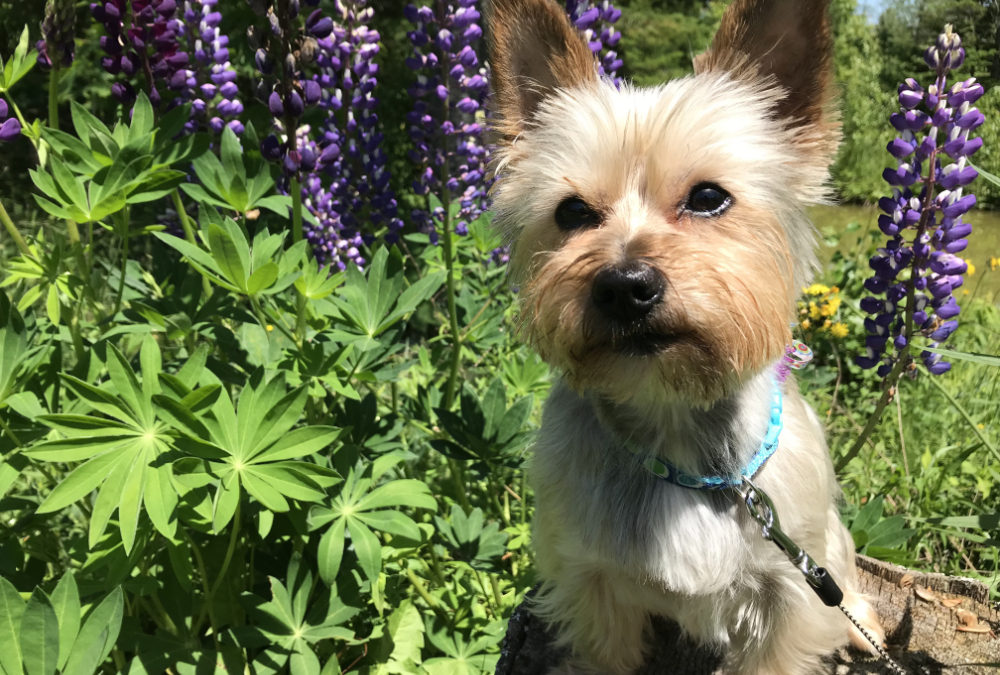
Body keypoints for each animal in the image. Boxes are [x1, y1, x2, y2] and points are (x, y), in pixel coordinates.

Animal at [488, 1, 888, 675]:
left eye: (707, 197)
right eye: (572, 212)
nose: (624, 287)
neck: (671, 418)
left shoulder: (789, 595)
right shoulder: (590, 587)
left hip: (825, 550)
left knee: (844, 578)